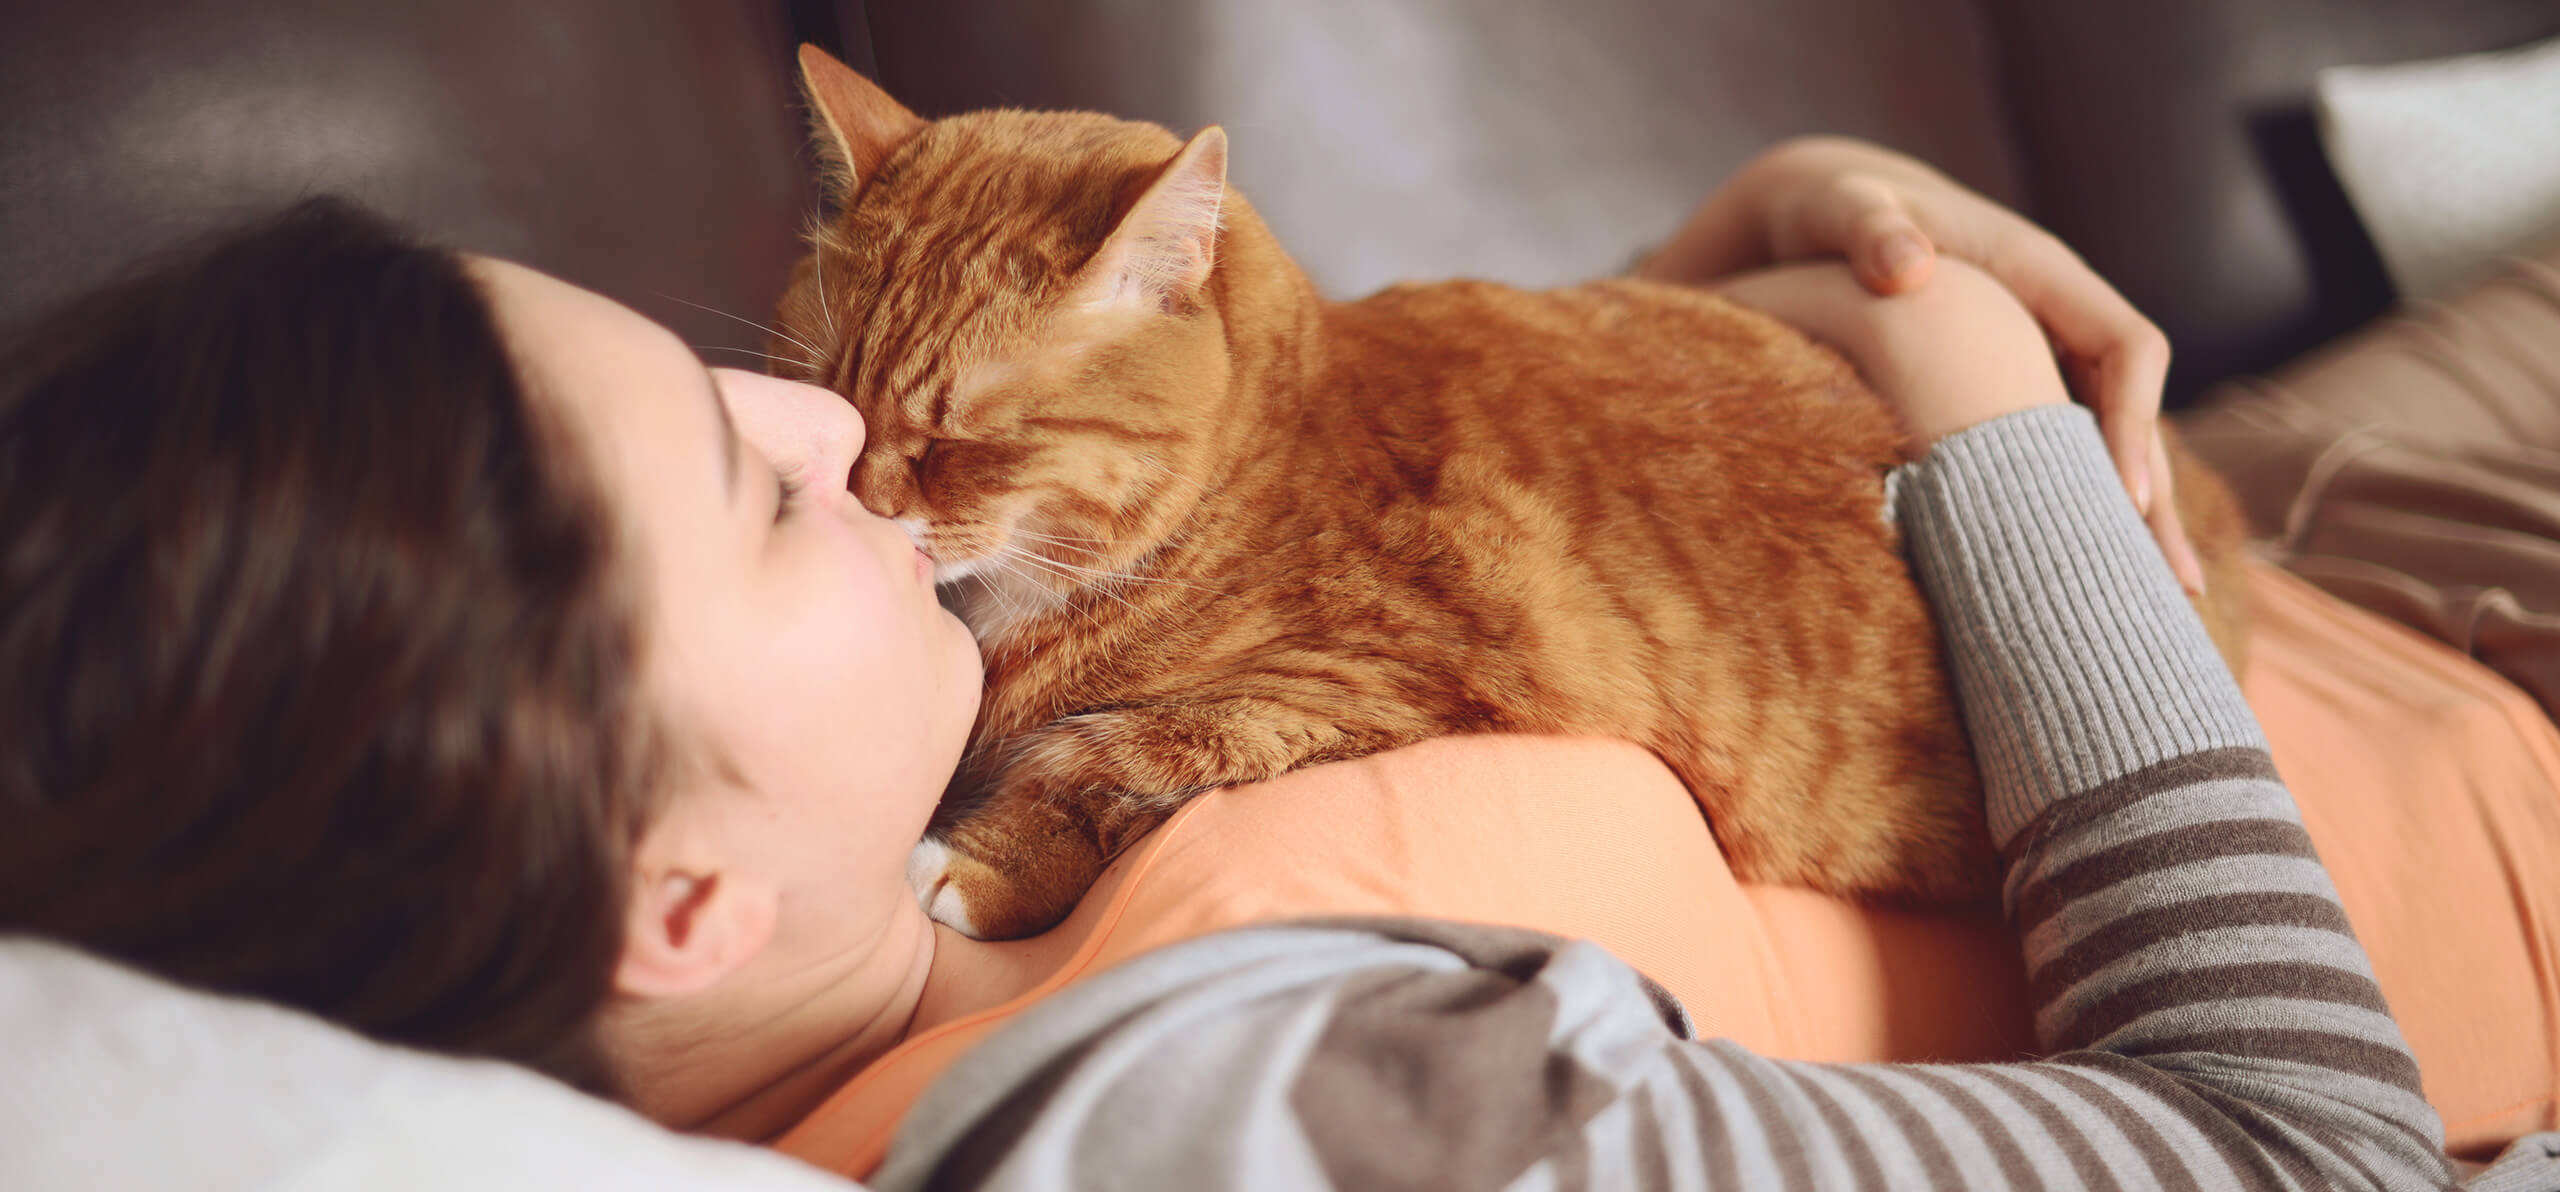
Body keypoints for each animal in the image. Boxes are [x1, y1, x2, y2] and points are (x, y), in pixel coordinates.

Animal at [773, 46, 2242, 941]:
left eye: (960, 440)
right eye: (833, 404)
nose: (864, 504)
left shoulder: (1384, 687)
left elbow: (1119, 749)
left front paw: (976, 860)